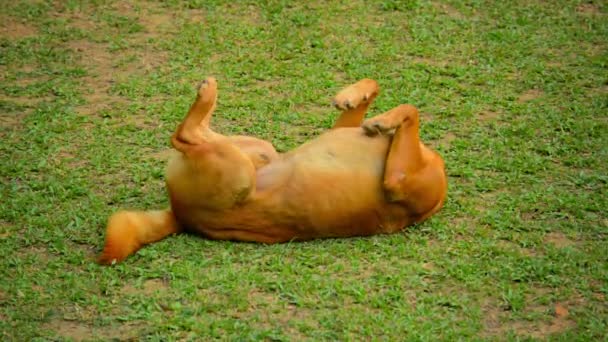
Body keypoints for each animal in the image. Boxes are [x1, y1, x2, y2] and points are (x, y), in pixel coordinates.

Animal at [98, 77, 446, 264]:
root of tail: (179, 216)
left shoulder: (397, 180)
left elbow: (411, 109)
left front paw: (384, 120)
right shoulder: (342, 130)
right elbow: (379, 92)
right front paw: (353, 95)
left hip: (236, 168)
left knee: (183, 135)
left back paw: (207, 93)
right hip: (256, 150)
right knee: (194, 135)